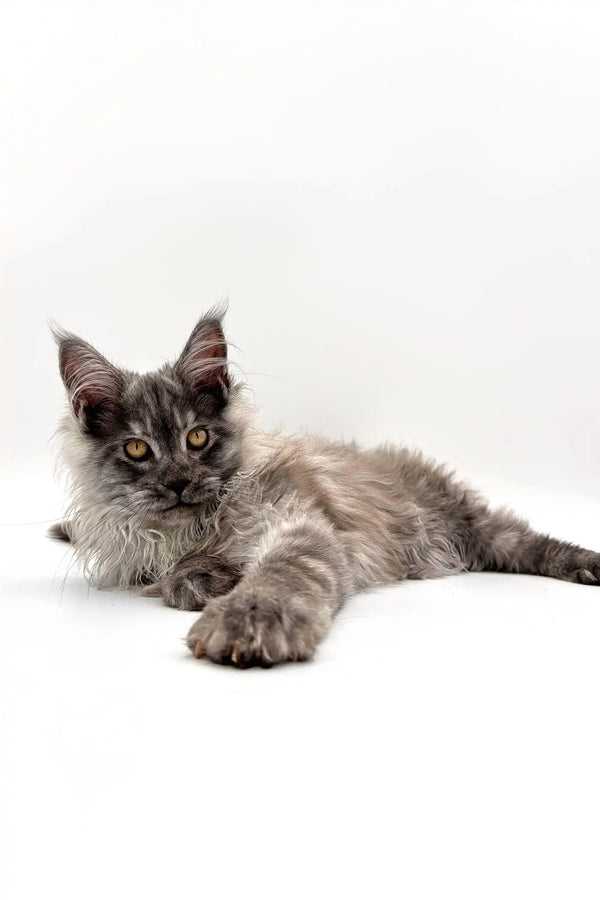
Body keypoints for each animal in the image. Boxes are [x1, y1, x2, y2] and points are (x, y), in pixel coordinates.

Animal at [50, 310, 600, 668]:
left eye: (197, 437)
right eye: (137, 449)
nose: (180, 482)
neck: (193, 532)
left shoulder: (296, 520)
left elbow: (279, 573)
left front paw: (245, 619)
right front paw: (200, 576)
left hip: (471, 523)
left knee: (529, 542)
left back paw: (588, 565)